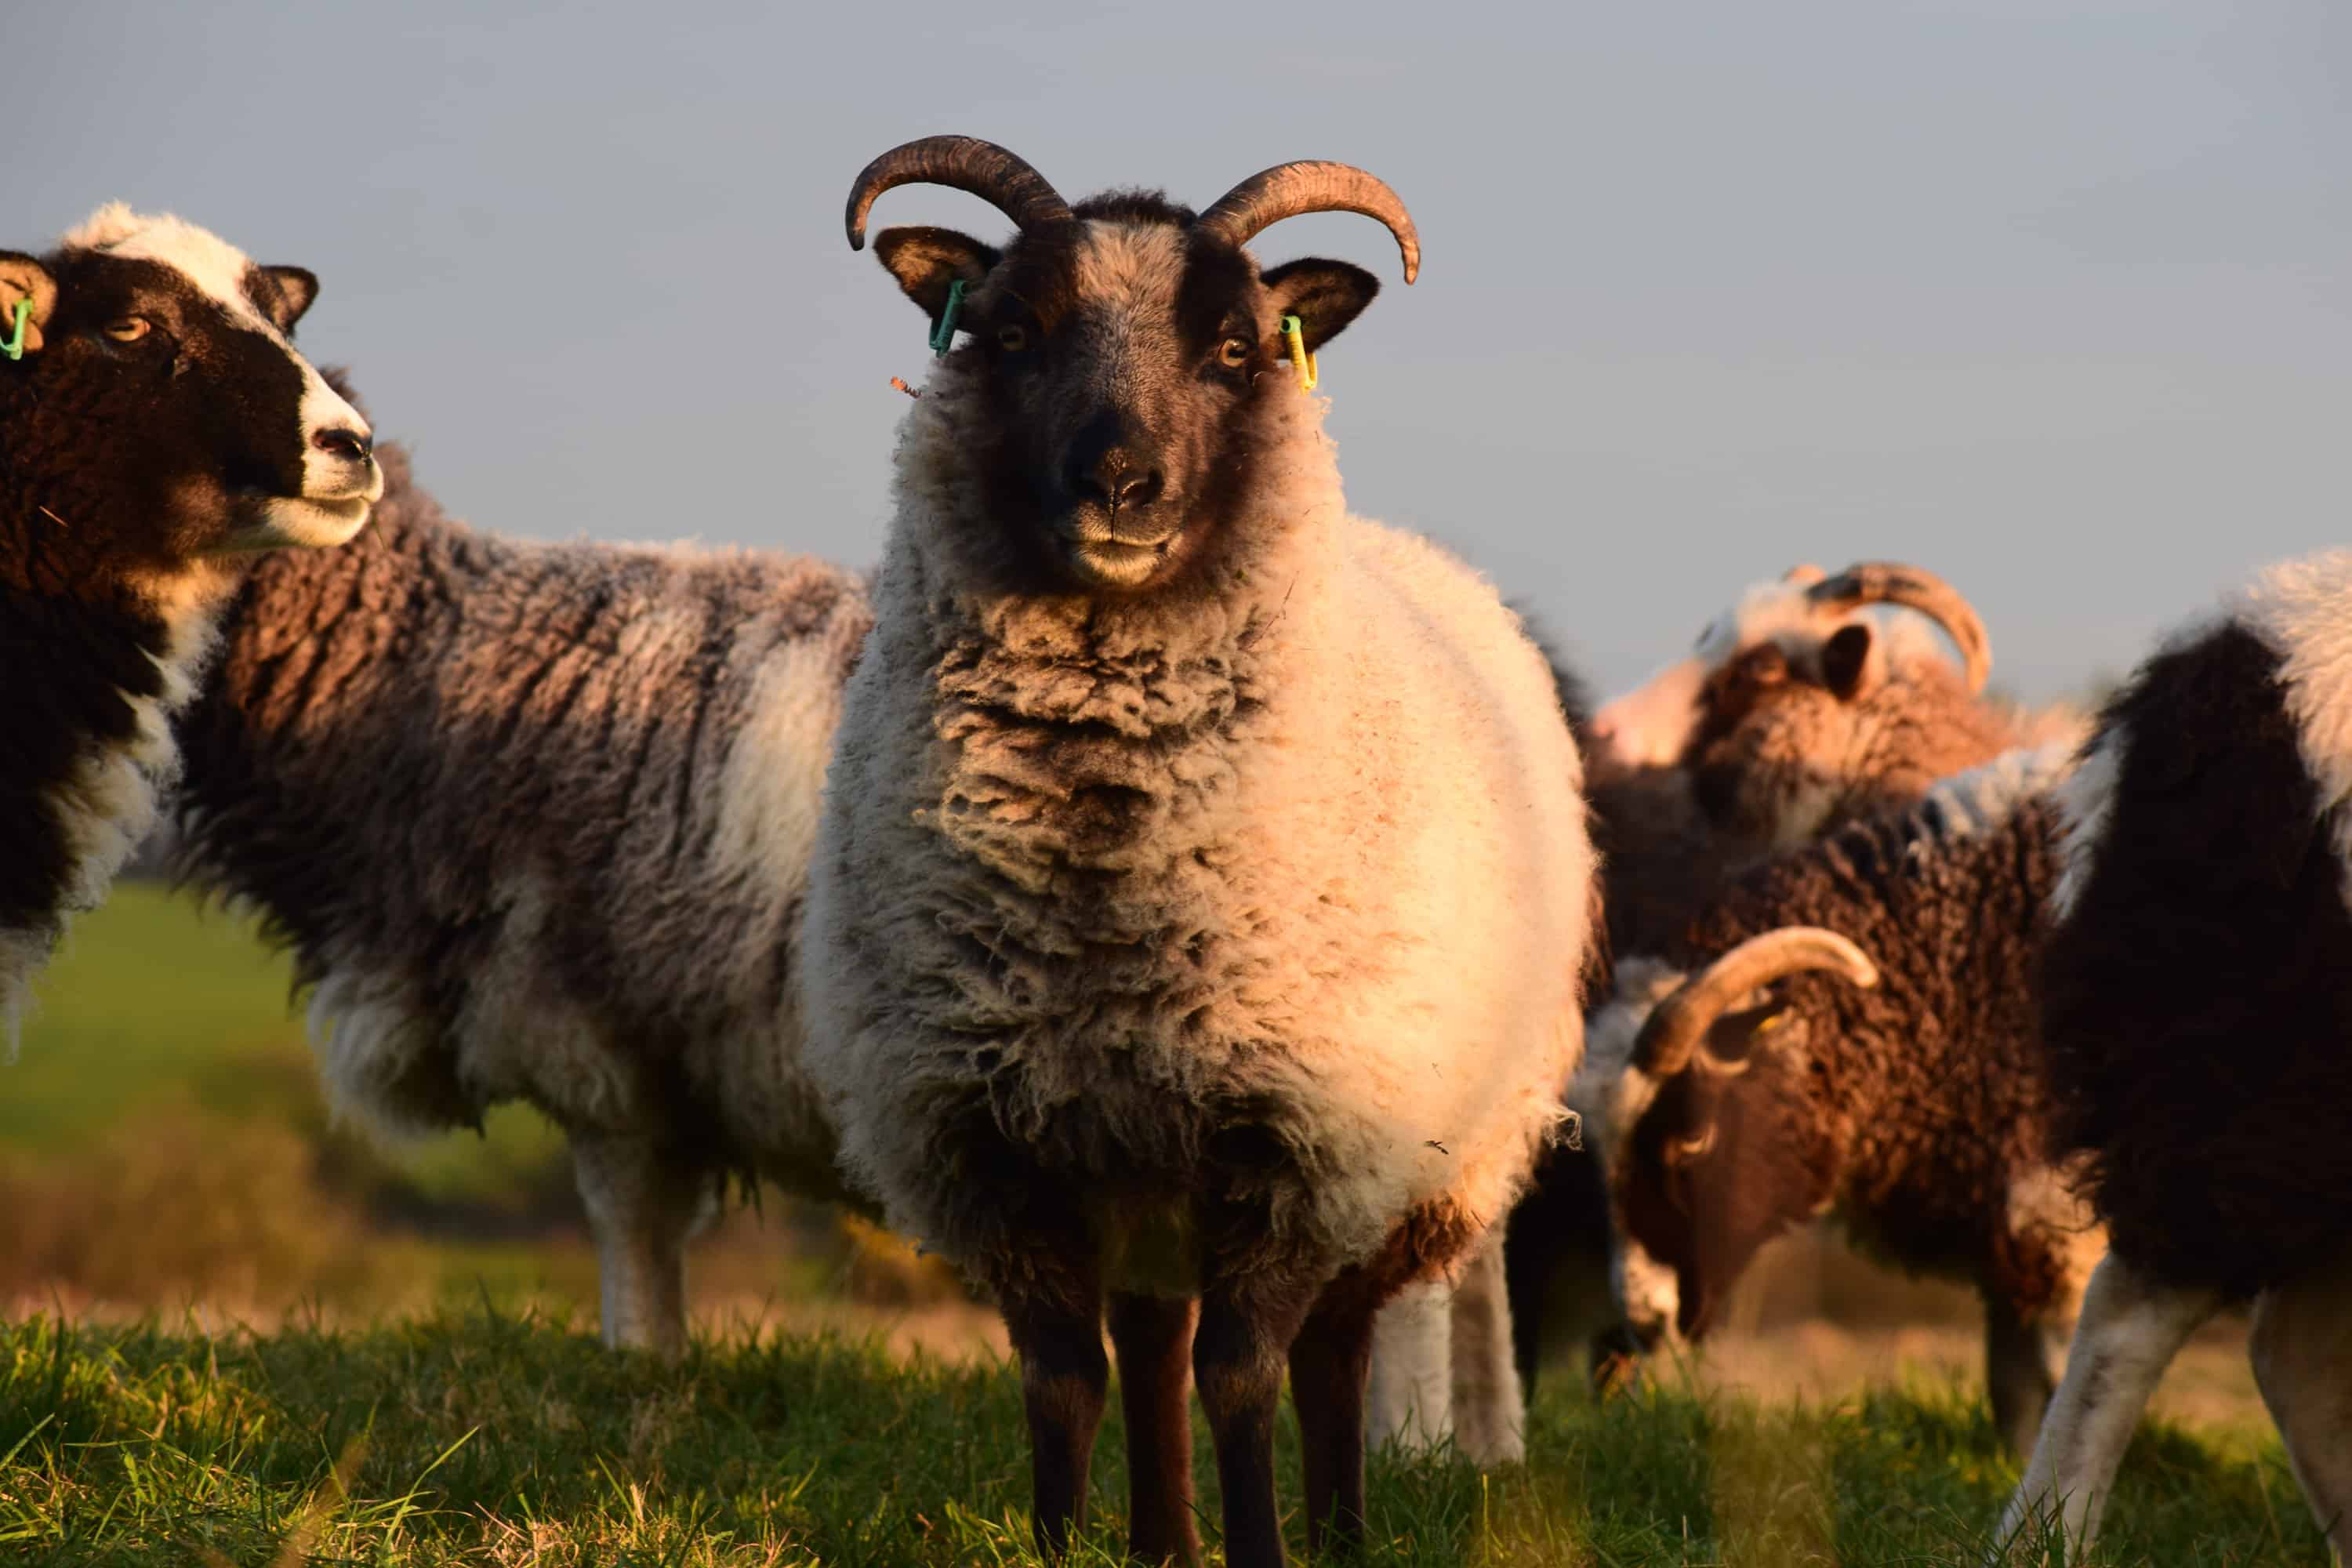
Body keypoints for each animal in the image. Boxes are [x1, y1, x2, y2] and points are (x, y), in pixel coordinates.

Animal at [797, 136, 1592, 1567]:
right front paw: (1062, 1549)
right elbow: (1067, 1380)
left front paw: (1269, 1548)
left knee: (1331, 1350)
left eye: (1235, 345)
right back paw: (1163, 1540)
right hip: (1137, 1171)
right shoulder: (993, 1147)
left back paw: (1337, 1531)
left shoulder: (1292, 1143)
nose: (1122, 488)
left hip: (1412, 1162)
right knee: (1152, 1339)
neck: (1106, 889)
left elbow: (1247, 1375)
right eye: (1012, 331)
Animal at [1583, 744, 2102, 1456]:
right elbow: (2014, 1390)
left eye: (1692, 1137)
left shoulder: (2052, 1211)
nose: (1643, 1320)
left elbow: (2056, 1383)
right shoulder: (2005, 1217)